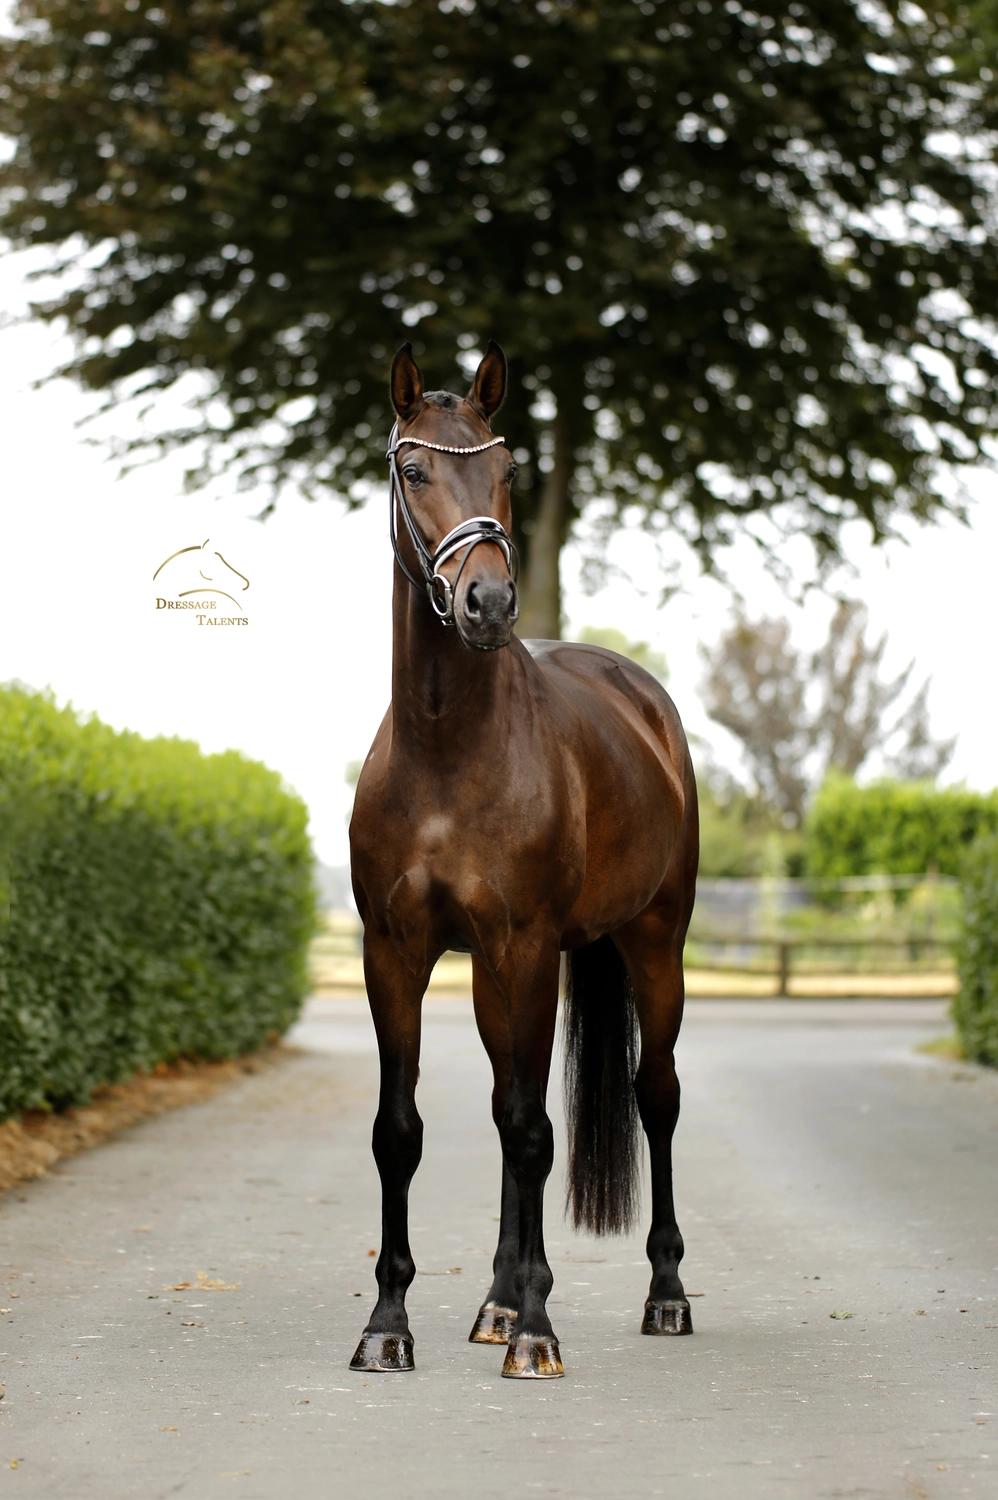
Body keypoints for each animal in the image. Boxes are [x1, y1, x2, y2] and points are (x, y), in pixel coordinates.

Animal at [348, 341, 699, 1380]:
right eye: (413, 469)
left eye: (505, 469)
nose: (490, 602)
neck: (445, 754)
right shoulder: (394, 955)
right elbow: (404, 1132)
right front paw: (388, 1325)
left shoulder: (530, 948)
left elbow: (535, 1132)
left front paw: (540, 1333)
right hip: (497, 979)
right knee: (512, 1106)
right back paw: (497, 1305)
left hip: (653, 944)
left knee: (653, 1099)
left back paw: (662, 1297)